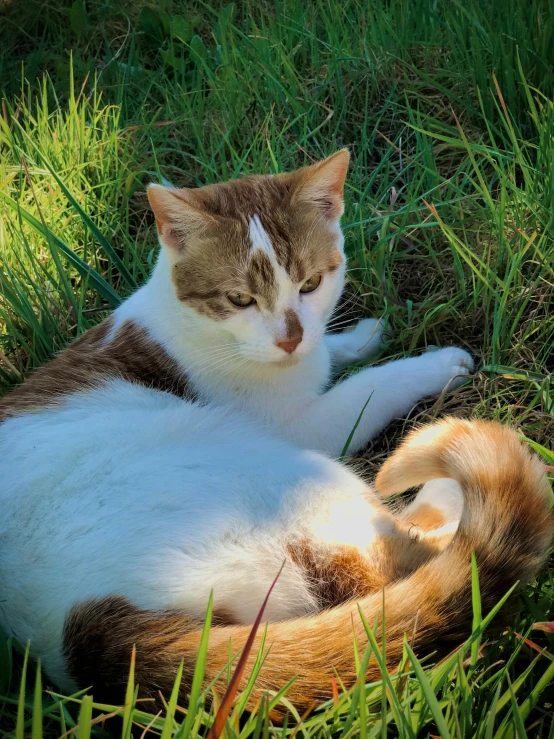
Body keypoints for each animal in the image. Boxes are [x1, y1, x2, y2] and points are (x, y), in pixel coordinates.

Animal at [0, 150, 548, 716]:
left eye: (310, 284)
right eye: (239, 298)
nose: (291, 337)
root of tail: (90, 638)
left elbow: (333, 351)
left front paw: (358, 337)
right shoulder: (304, 424)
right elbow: (371, 385)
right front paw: (431, 365)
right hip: (276, 469)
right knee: (403, 555)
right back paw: (454, 489)